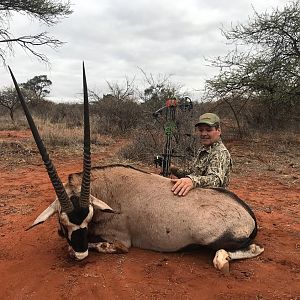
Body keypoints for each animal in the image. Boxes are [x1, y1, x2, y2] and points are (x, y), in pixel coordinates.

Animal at [8, 65, 262, 272]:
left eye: (87, 219)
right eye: (63, 222)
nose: (81, 254)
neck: (105, 189)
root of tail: (249, 215)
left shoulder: (120, 241)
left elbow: (103, 245)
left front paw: (75, 250)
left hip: (212, 240)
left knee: (243, 251)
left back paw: (223, 260)